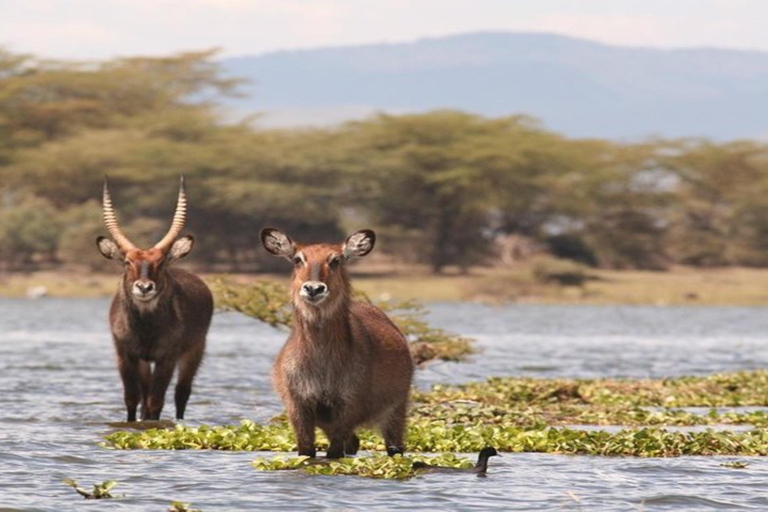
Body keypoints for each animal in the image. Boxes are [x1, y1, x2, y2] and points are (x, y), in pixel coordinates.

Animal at [98, 178, 216, 422]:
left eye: (160, 262)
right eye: (127, 262)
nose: (144, 287)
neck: (145, 327)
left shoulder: (167, 357)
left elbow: (156, 402)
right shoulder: (126, 355)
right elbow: (132, 399)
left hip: (195, 351)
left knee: (181, 393)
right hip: (144, 361)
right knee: (145, 395)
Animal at [260, 226, 416, 458]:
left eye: (336, 260)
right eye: (297, 259)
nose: (313, 288)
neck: (321, 364)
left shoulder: (348, 405)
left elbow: (334, 452)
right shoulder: (298, 405)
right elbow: (306, 450)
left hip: (396, 410)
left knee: (394, 446)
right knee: (354, 443)